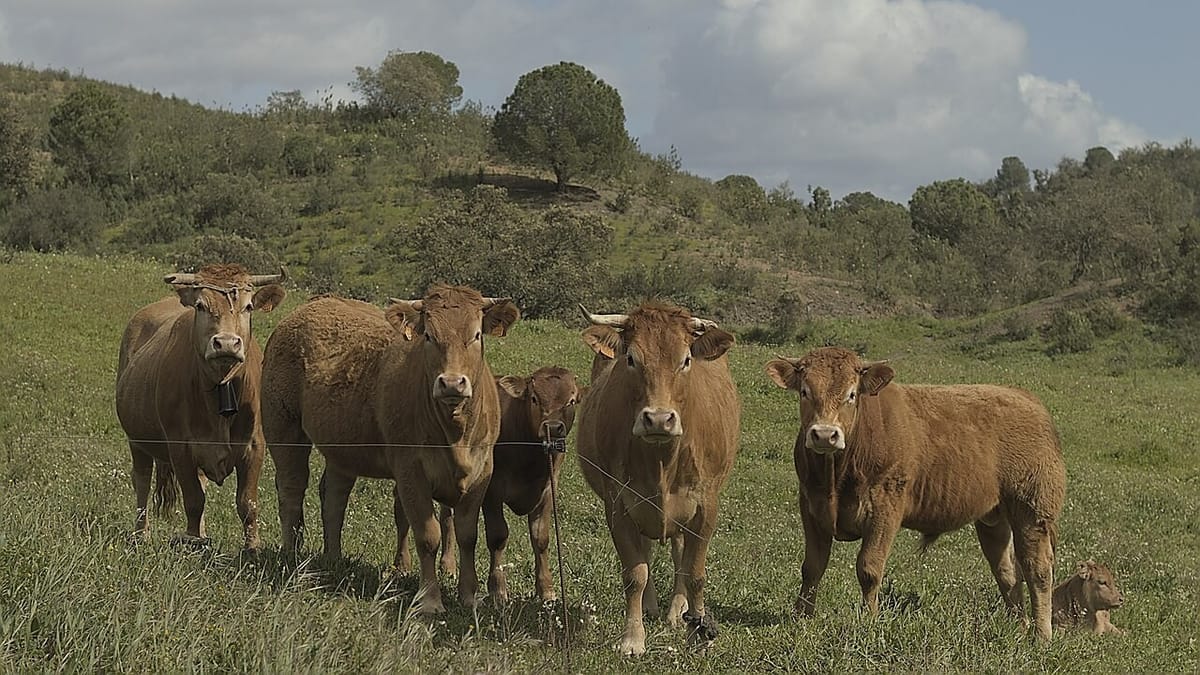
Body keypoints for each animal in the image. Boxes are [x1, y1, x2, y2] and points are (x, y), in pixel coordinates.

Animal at [115, 264, 286, 550]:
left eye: (249, 306)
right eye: (200, 306)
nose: (226, 343)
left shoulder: (254, 446)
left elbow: (247, 503)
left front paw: (252, 546)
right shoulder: (180, 448)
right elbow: (194, 500)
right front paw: (192, 541)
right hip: (137, 440)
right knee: (141, 482)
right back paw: (141, 534)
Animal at [260, 286, 519, 614]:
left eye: (475, 335)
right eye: (429, 336)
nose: (451, 383)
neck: (455, 432)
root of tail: (314, 305)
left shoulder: (481, 473)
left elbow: (467, 535)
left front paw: (469, 596)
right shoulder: (411, 472)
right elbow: (427, 535)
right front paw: (430, 600)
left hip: (343, 447)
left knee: (333, 497)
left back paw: (333, 557)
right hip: (283, 426)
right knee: (291, 489)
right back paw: (291, 554)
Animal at [412, 366, 583, 602]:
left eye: (571, 401)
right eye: (534, 398)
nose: (553, 427)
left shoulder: (548, 491)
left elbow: (541, 539)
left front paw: (546, 589)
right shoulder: (492, 491)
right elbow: (498, 536)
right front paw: (498, 589)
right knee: (447, 518)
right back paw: (448, 565)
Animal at [576, 302, 741, 656]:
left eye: (686, 360)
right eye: (630, 359)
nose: (659, 419)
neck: (661, 460)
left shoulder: (706, 506)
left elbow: (694, 573)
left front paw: (698, 633)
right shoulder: (618, 505)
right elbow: (635, 572)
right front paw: (632, 637)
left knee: (679, 555)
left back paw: (677, 611)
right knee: (648, 551)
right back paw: (651, 607)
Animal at [766, 347, 1067, 641]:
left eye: (851, 394)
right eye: (805, 391)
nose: (825, 434)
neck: (836, 478)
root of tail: (1025, 398)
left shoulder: (885, 508)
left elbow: (869, 568)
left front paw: (869, 622)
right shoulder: (811, 506)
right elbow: (812, 567)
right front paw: (801, 618)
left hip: (1032, 511)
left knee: (1037, 570)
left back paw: (1041, 636)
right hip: (994, 519)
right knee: (1007, 572)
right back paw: (1020, 627)